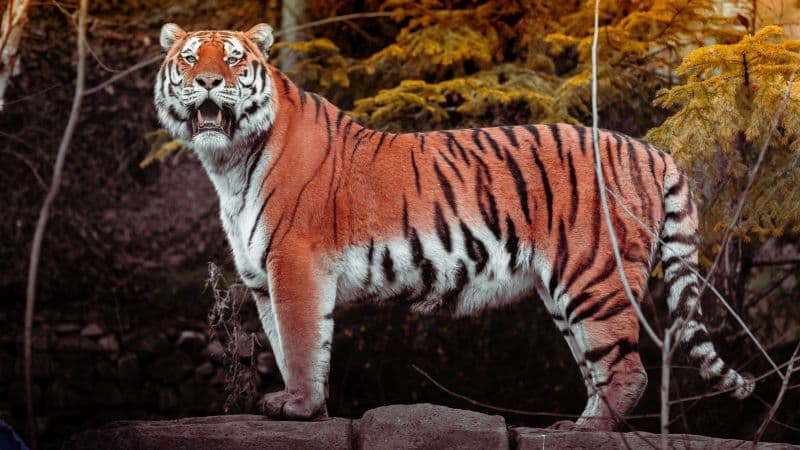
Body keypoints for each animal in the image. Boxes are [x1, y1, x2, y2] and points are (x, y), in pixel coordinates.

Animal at [154, 23, 754, 430]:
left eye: (234, 59)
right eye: (190, 58)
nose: (207, 81)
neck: (228, 162)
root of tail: (652, 149)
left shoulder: (295, 262)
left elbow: (300, 345)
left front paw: (298, 407)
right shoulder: (262, 277)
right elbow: (284, 344)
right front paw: (309, 409)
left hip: (595, 277)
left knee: (629, 369)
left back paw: (589, 432)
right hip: (565, 293)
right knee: (600, 366)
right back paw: (577, 423)